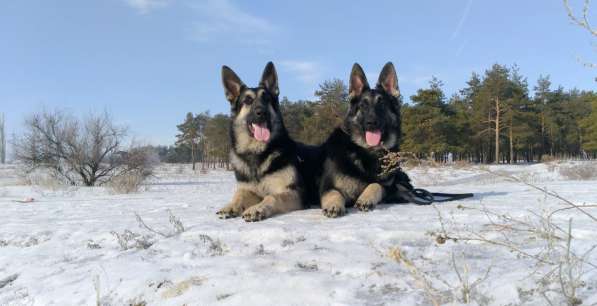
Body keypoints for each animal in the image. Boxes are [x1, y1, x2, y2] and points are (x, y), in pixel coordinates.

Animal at [214, 61, 316, 221]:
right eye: (248, 100)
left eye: (267, 99)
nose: (261, 112)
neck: (258, 152)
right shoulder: (249, 190)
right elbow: (239, 195)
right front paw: (230, 206)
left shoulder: (294, 192)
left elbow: (272, 197)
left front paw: (256, 208)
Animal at [318, 61, 412, 218]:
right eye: (363, 105)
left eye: (382, 104)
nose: (371, 123)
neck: (367, 152)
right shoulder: (327, 186)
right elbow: (334, 193)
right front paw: (333, 205)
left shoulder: (386, 187)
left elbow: (376, 184)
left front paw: (366, 198)